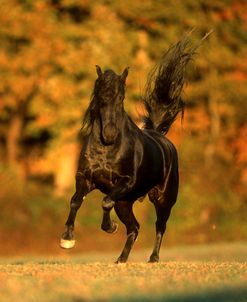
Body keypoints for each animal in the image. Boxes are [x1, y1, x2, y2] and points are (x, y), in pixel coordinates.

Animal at [61, 37, 197, 262]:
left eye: (121, 97)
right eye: (99, 95)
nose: (109, 134)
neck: (107, 150)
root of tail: (162, 139)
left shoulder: (125, 183)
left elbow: (106, 201)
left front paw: (110, 226)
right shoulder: (85, 177)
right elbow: (75, 201)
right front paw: (67, 239)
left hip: (163, 199)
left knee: (160, 225)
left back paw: (153, 258)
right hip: (125, 202)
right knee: (134, 227)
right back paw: (121, 260)